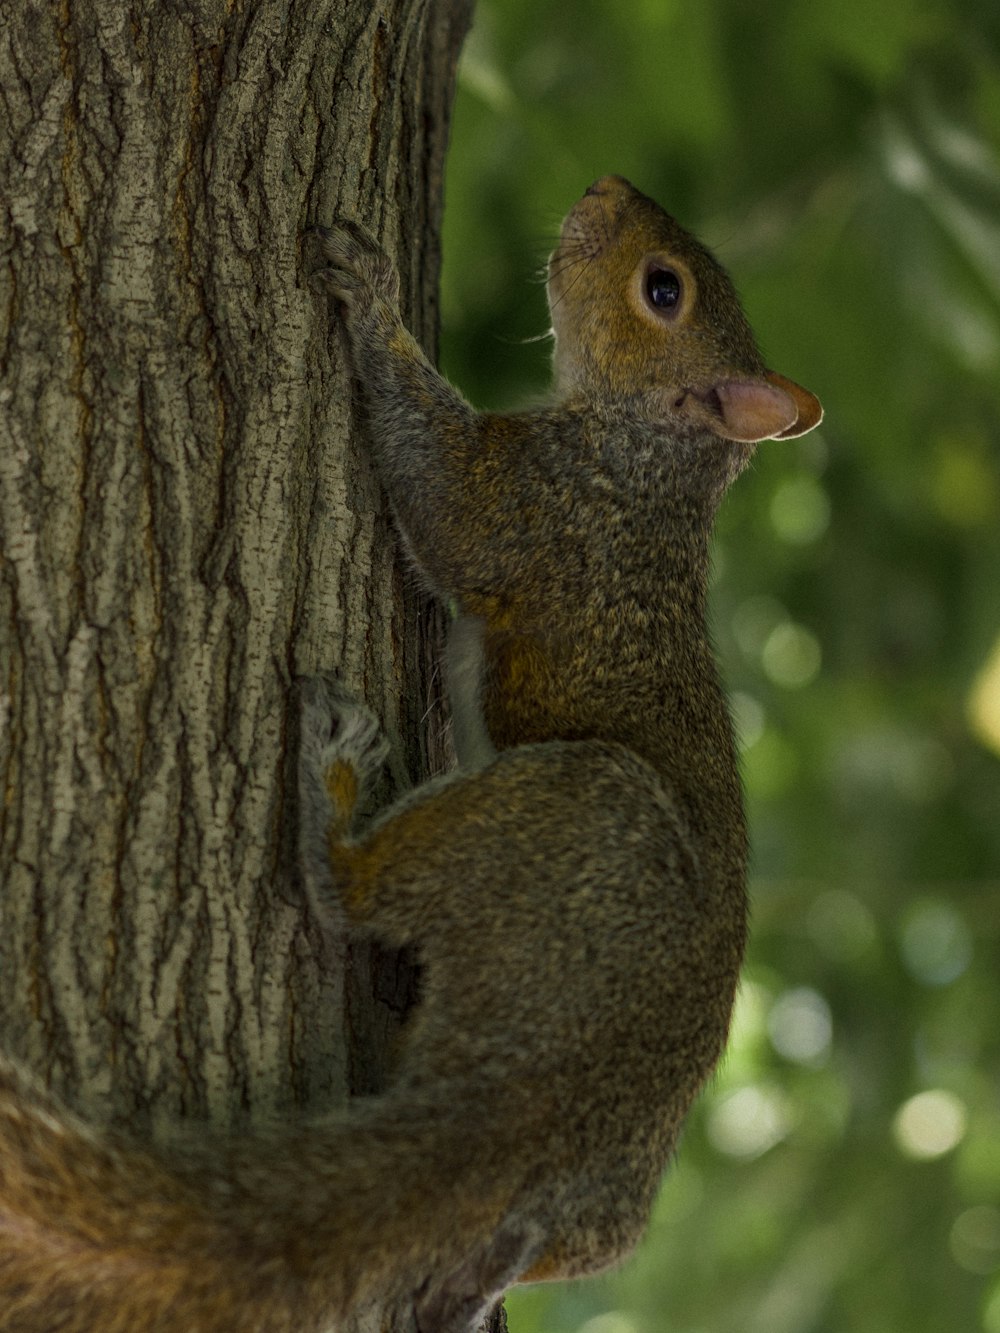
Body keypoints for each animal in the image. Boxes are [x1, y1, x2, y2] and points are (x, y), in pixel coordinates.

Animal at [0, 177, 821, 1333]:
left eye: (663, 291)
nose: (604, 190)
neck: (650, 461)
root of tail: (544, 1095)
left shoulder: (535, 500)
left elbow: (438, 487)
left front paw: (372, 296)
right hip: (595, 1217)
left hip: (571, 817)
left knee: (347, 890)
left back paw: (330, 787)